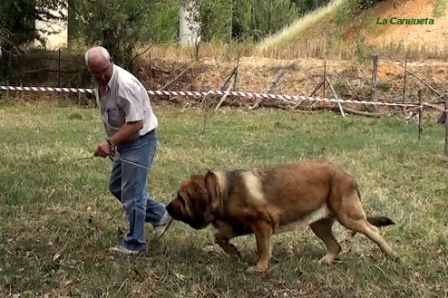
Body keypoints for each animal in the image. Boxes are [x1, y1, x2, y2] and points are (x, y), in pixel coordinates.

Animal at [166, 159, 398, 274]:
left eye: (180, 197)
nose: (167, 208)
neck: (222, 191)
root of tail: (348, 176)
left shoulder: (262, 225)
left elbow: (262, 249)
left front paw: (259, 268)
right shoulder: (237, 226)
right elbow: (220, 237)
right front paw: (233, 252)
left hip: (347, 216)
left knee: (373, 230)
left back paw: (391, 254)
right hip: (319, 224)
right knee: (336, 245)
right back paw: (325, 261)